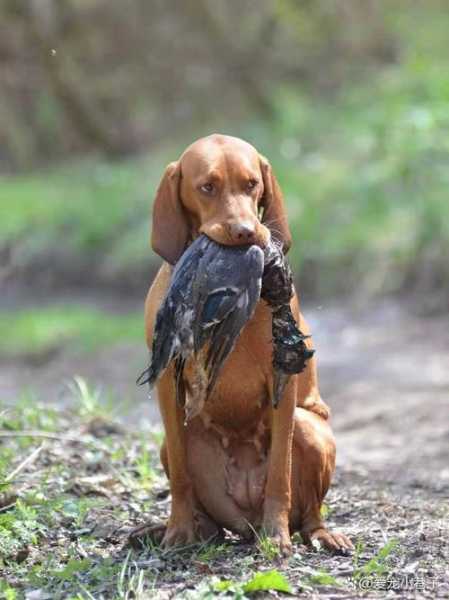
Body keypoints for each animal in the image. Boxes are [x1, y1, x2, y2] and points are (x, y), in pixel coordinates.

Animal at [140, 135, 350, 552]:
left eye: (252, 184)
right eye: (207, 187)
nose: (246, 233)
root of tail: (244, 523)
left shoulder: (281, 380)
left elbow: (280, 472)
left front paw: (277, 535)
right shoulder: (168, 386)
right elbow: (181, 479)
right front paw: (178, 529)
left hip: (309, 427)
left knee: (310, 512)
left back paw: (317, 533)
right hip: (177, 446)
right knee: (203, 509)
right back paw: (183, 529)